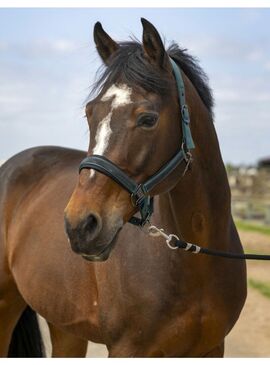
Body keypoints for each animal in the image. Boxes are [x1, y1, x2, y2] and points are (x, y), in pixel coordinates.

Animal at [0, 18, 247, 356]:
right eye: (90, 113)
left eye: (147, 119)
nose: (80, 225)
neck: (197, 258)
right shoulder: (128, 348)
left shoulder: (212, 348)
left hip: (65, 325)